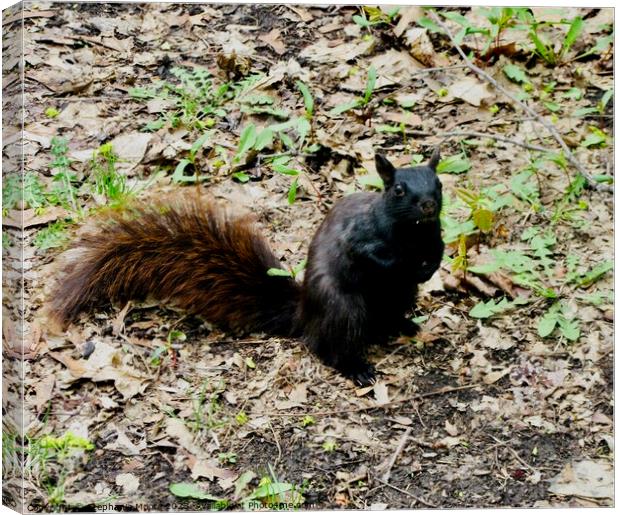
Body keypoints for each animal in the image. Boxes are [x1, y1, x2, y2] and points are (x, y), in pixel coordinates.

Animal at [50, 151, 444, 384]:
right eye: (397, 190)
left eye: (438, 183)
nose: (428, 205)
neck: (413, 234)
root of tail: (304, 313)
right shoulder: (359, 235)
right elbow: (370, 255)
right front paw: (404, 263)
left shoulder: (433, 235)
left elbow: (438, 250)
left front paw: (429, 266)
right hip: (343, 308)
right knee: (328, 347)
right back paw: (355, 367)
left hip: (396, 299)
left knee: (385, 320)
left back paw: (404, 325)